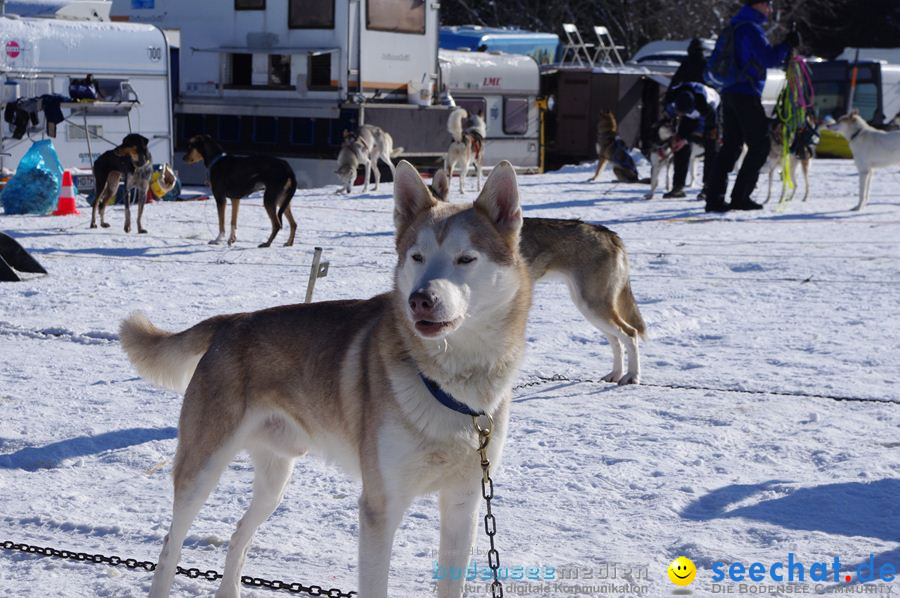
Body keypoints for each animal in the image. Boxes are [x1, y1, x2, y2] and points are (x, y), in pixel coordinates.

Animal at [117, 161, 532, 598]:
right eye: (417, 256)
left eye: (466, 258)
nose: (420, 299)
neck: (451, 384)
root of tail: (231, 321)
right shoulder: (380, 508)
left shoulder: (462, 505)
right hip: (201, 470)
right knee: (170, 544)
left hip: (274, 480)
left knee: (237, 535)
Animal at [432, 170, 644, 384]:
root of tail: (608, 233)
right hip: (590, 308)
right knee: (616, 340)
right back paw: (615, 374)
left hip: (593, 306)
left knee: (630, 334)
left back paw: (632, 376)